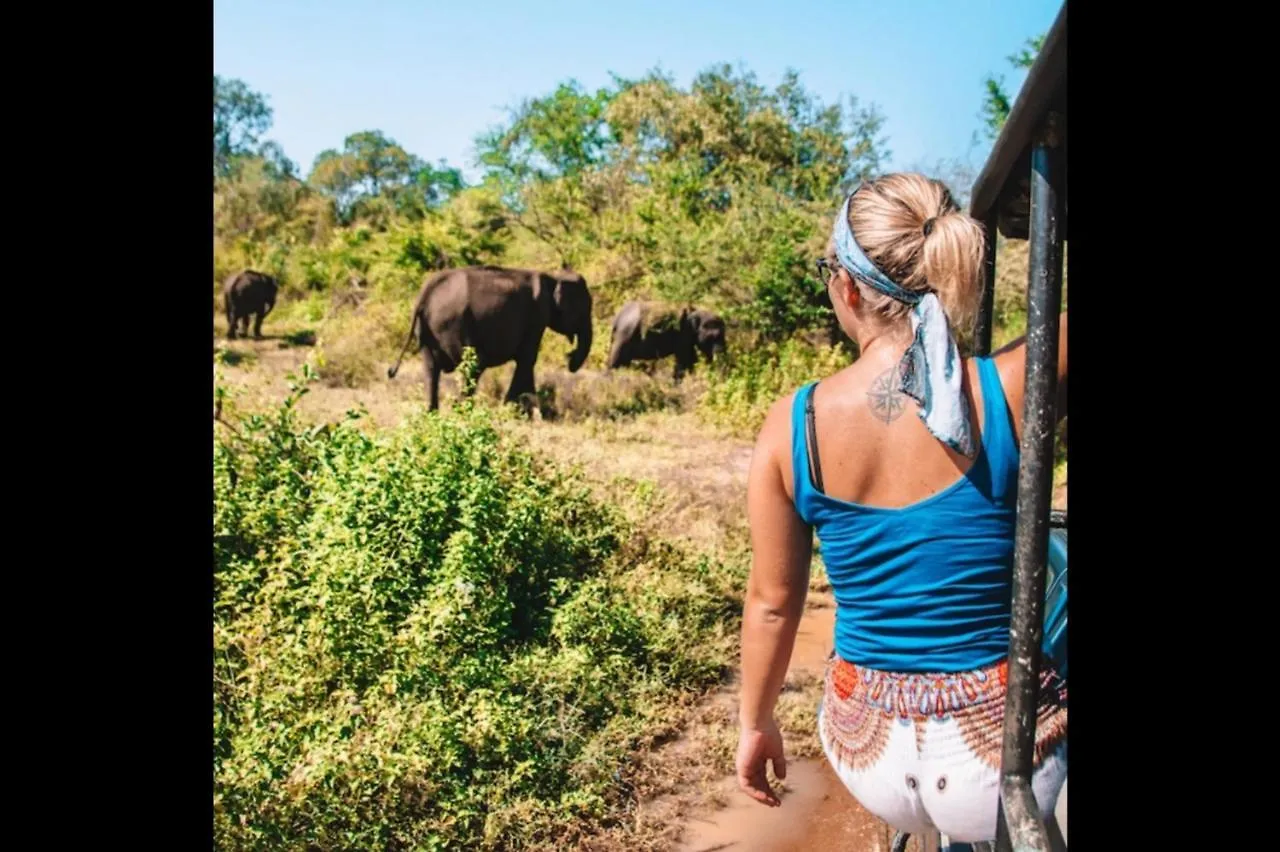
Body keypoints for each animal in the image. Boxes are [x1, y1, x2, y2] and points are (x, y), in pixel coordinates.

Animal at [384, 266, 593, 411]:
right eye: (584, 310)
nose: (569, 358)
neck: (553, 276)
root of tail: (425, 294)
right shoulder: (538, 315)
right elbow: (527, 359)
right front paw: (515, 409)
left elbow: (527, 361)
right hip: (453, 324)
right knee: (474, 364)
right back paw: (461, 410)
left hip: (427, 330)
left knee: (431, 369)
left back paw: (432, 413)